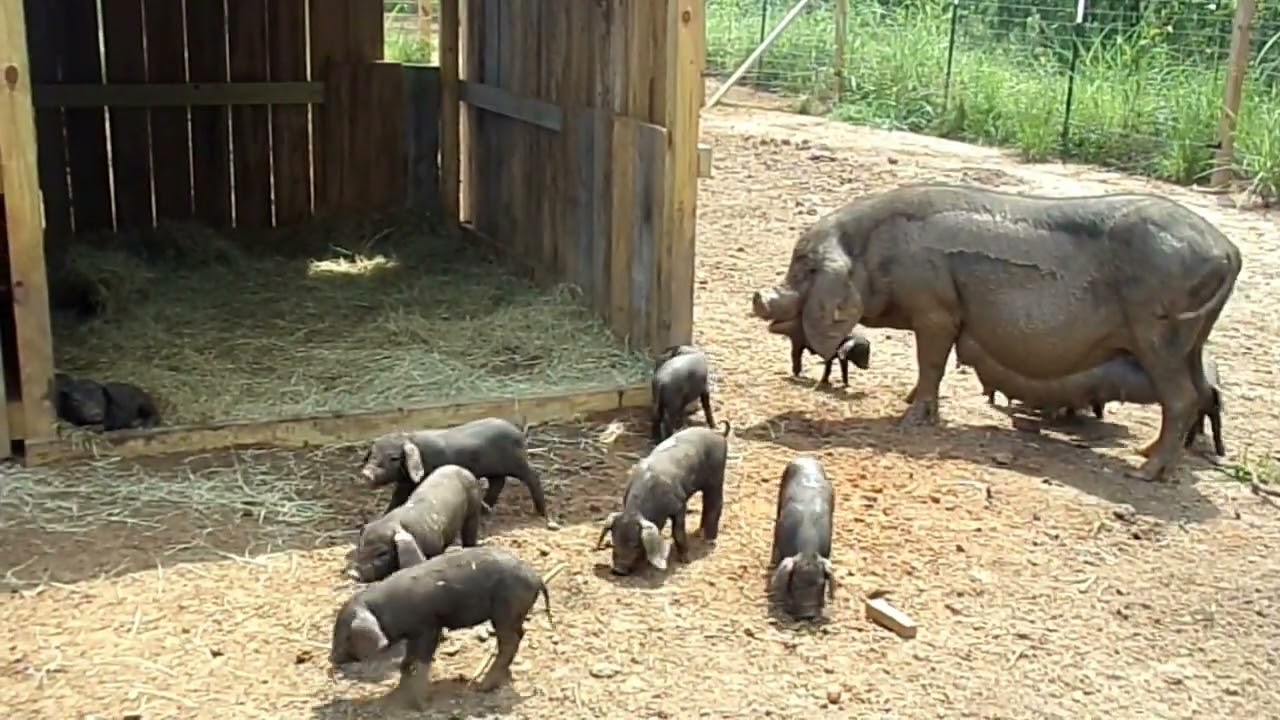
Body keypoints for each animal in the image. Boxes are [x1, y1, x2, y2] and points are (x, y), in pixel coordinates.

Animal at [329, 545, 553, 709]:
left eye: (346, 635)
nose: (331, 658)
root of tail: (537, 578)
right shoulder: (414, 634)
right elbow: (406, 662)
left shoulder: (429, 627)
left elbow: (422, 662)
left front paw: (421, 706)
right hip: (513, 614)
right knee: (519, 635)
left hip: (506, 610)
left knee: (509, 642)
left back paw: (481, 687)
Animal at [358, 417, 556, 528]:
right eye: (372, 453)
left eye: (393, 458)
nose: (366, 473)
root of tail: (519, 433)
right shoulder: (404, 483)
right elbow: (395, 500)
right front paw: (381, 517)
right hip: (496, 470)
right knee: (498, 482)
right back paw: (485, 510)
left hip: (518, 463)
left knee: (533, 476)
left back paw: (541, 512)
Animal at [596, 421, 730, 575]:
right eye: (614, 541)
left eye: (635, 544)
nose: (618, 570)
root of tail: (717, 433)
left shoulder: (679, 505)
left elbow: (678, 532)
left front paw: (686, 560)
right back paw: (699, 534)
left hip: (717, 474)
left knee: (715, 502)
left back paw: (708, 540)